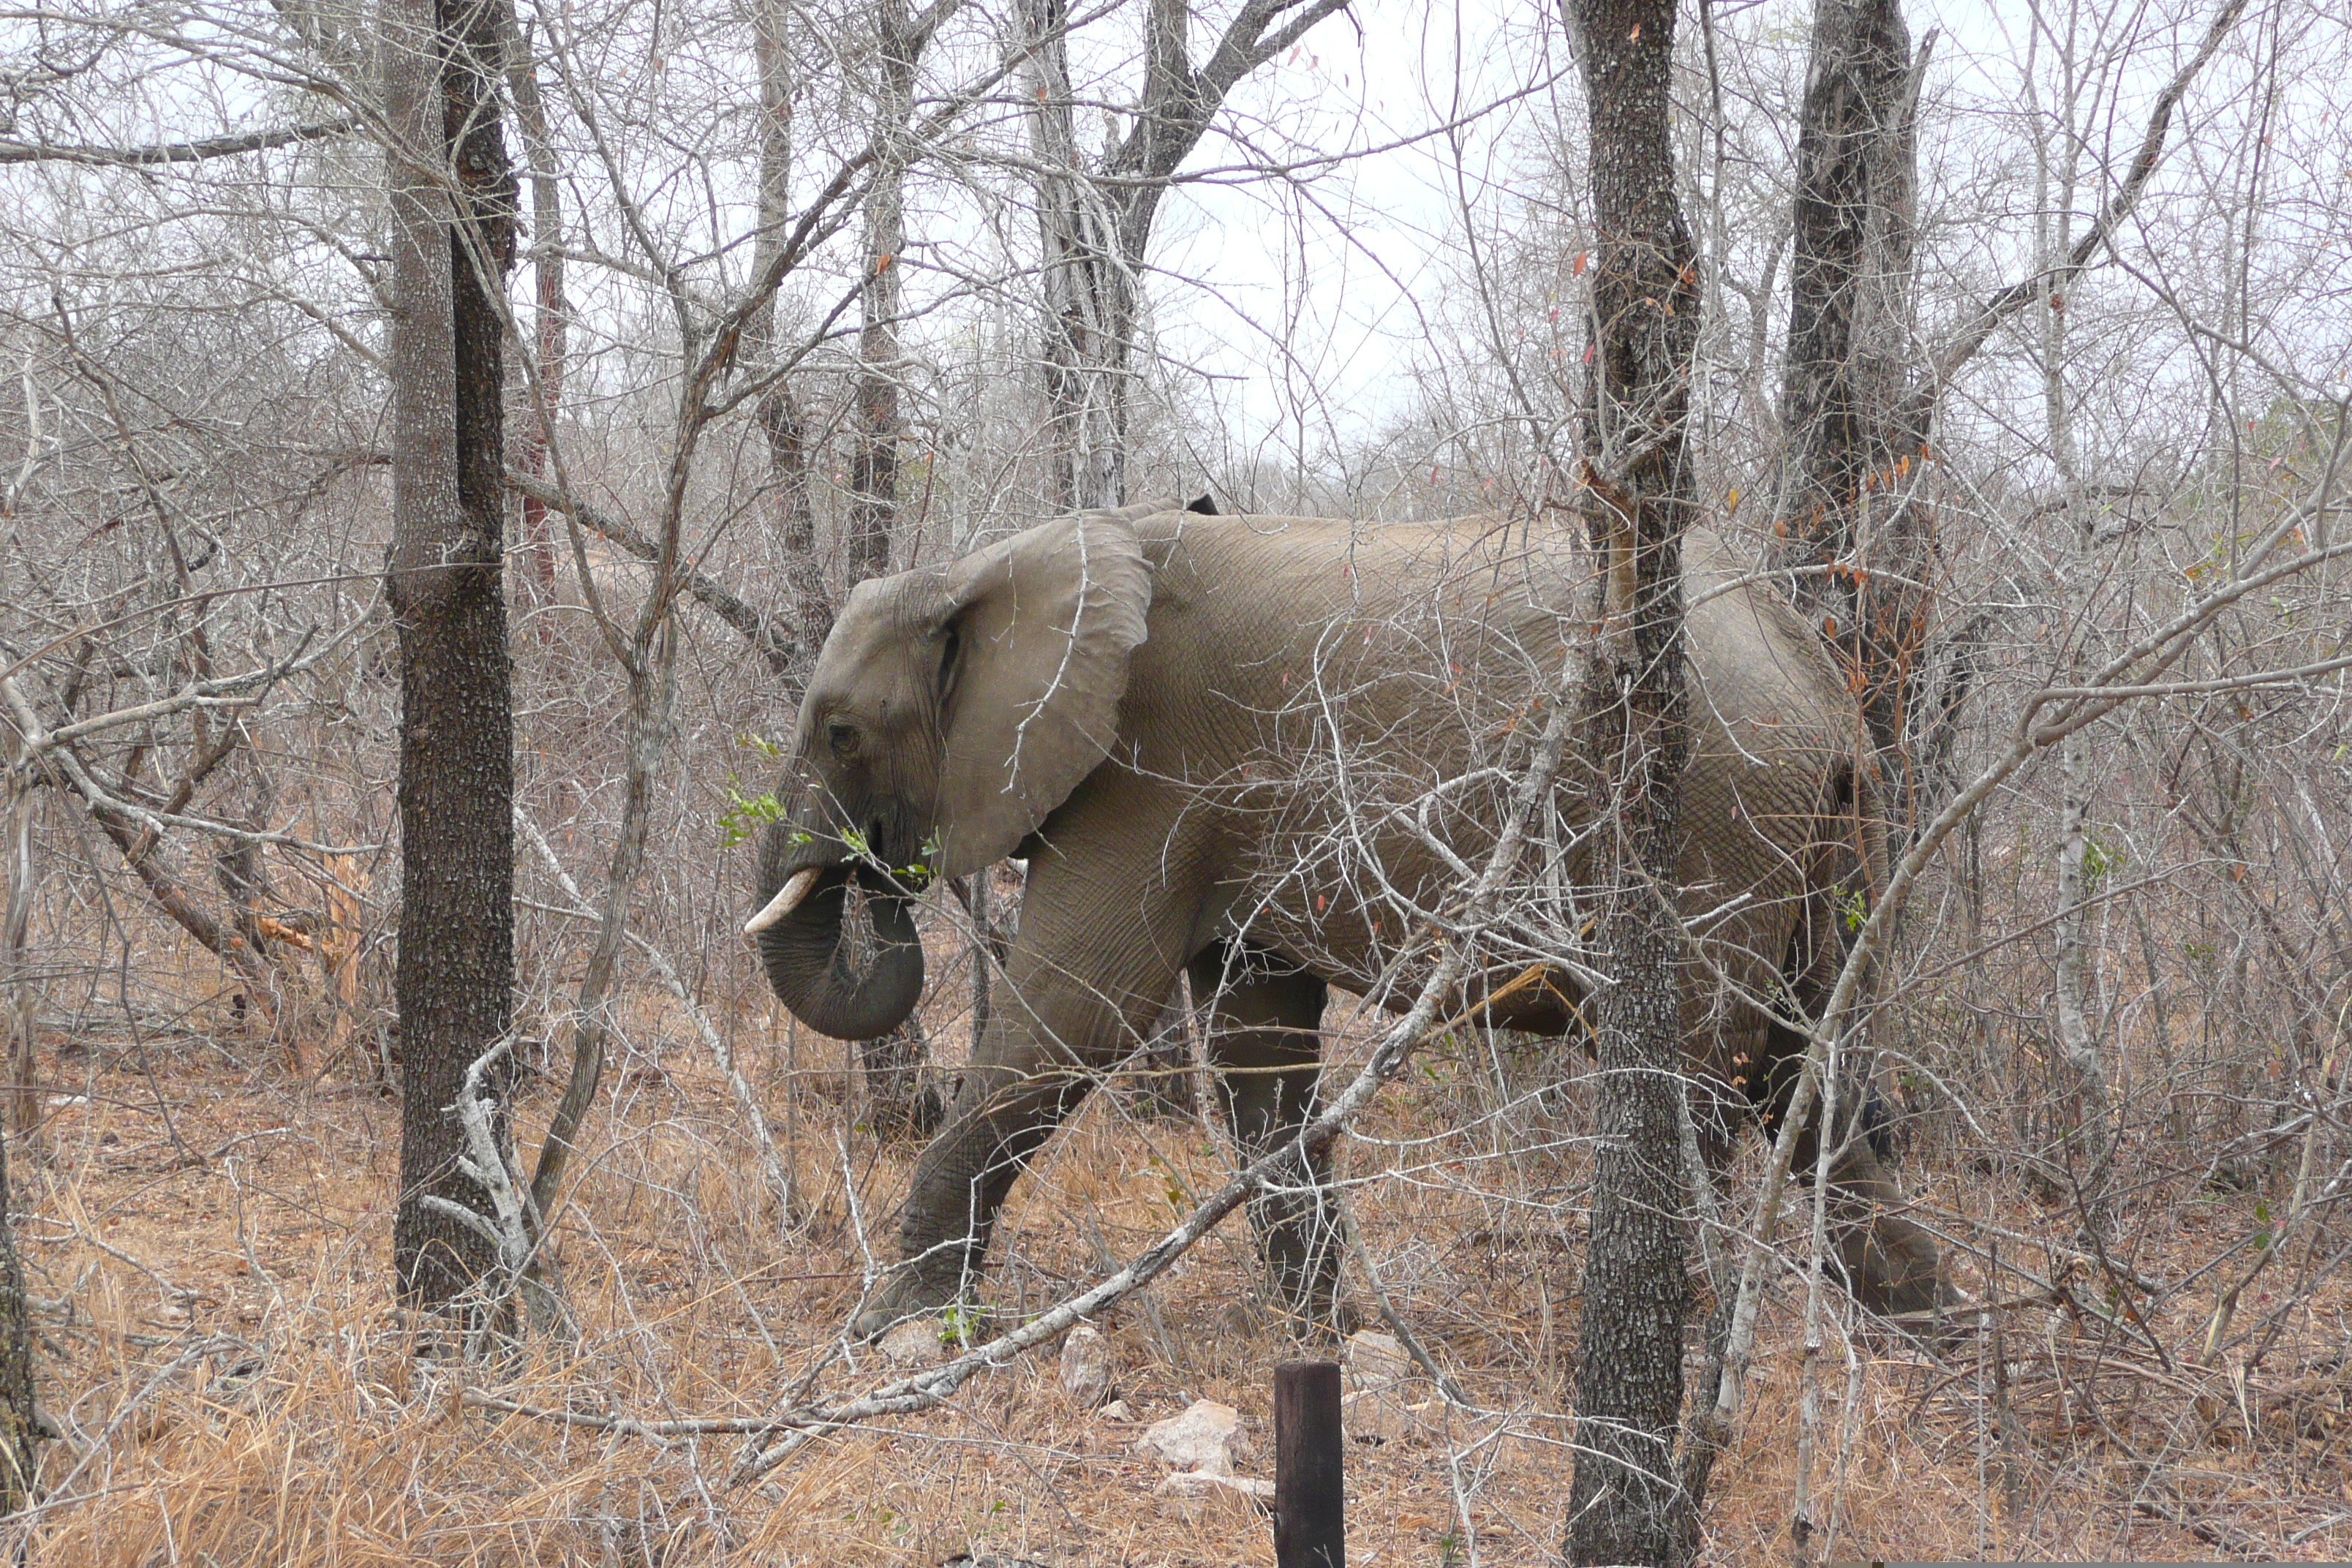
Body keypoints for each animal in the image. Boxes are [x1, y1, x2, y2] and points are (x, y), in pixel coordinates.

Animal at [743, 500, 1956, 1335]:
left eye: (842, 732)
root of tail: (1824, 684)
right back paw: (1930, 1339)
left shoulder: (1146, 783)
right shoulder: (1224, 813)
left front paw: (894, 1332)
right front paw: (1326, 1338)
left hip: (1715, 819)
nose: (872, 872)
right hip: (1819, 842)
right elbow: (1257, 1052)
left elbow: (1075, 1015)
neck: (990, 566)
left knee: (1709, 1078)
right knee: (1811, 1072)